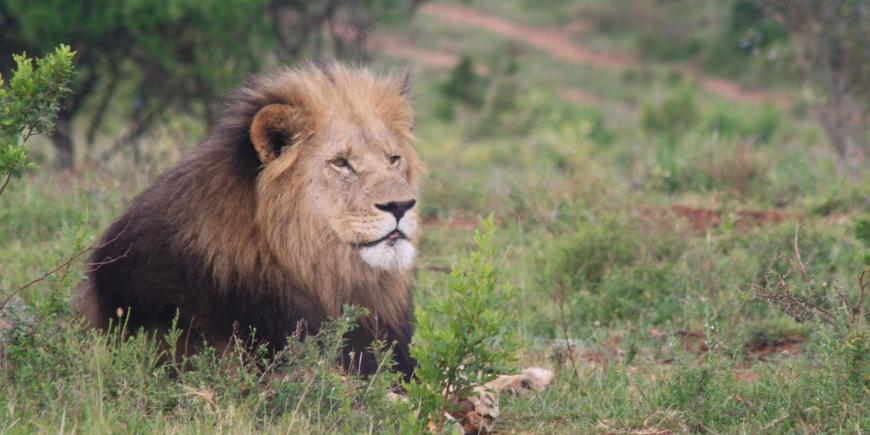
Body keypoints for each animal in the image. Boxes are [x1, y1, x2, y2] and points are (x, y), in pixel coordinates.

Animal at [73, 63, 550, 431]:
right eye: (341, 163)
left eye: (393, 159)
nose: (402, 206)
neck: (322, 273)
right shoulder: (225, 368)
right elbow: (358, 392)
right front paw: (437, 414)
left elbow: (435, 374)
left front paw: (484, 394)